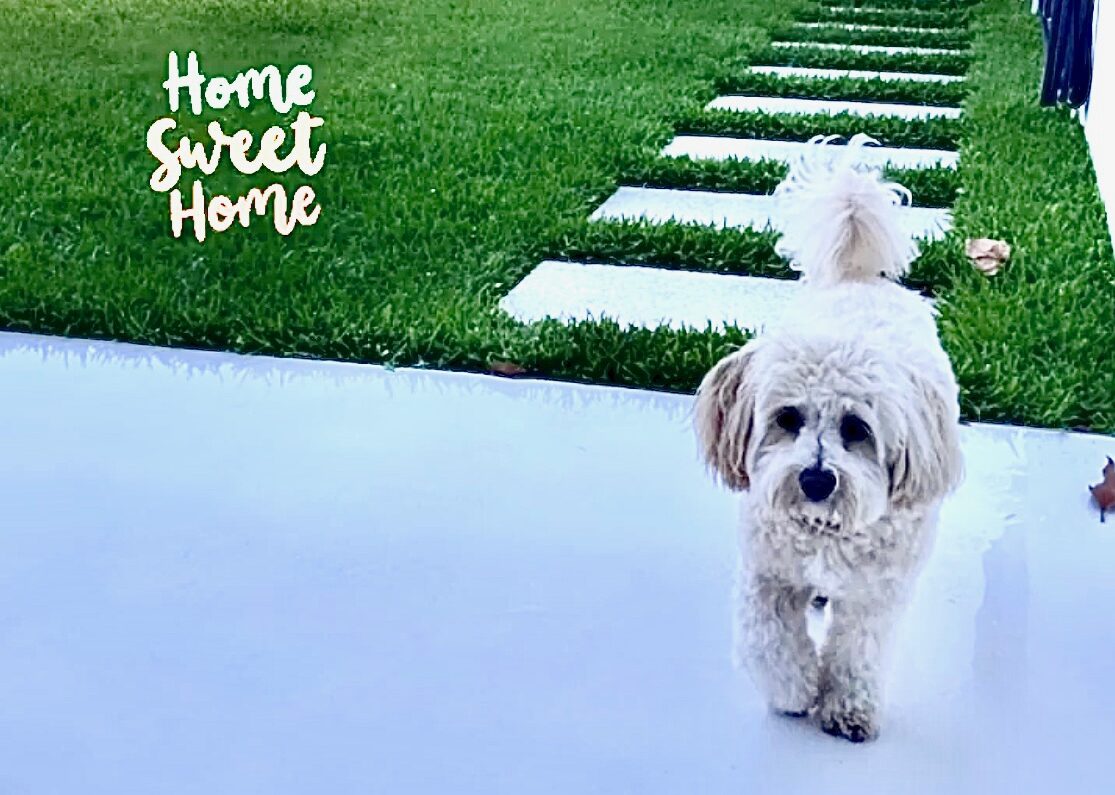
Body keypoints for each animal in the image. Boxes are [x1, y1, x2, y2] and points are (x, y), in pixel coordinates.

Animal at [695, 134, 967, 735]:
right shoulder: (767, 577)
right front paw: (795, 692)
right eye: (787, 418)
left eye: (856, 429)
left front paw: (847, 708)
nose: (816, 480)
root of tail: (858, 278)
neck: (823, 530)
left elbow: (857, 650)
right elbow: (770, 642)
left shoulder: (876, 597)